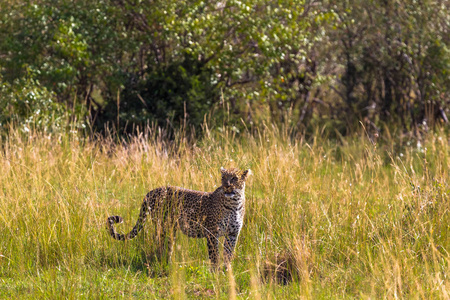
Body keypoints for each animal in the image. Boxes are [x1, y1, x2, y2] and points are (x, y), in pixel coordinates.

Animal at [107, 166, 251, 270]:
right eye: (223, 177)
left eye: (234, 178)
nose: (226, 186)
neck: (234, 203)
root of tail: (152, 191)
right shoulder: (212, 233)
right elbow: (214, 255)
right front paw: (215, 273)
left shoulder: (232, 234)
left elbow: (228, 254)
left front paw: (227, 272)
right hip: (163, 226)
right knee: (160, 244)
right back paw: (164, 265)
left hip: (171, 229)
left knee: (167, 247)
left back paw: (170, 265)